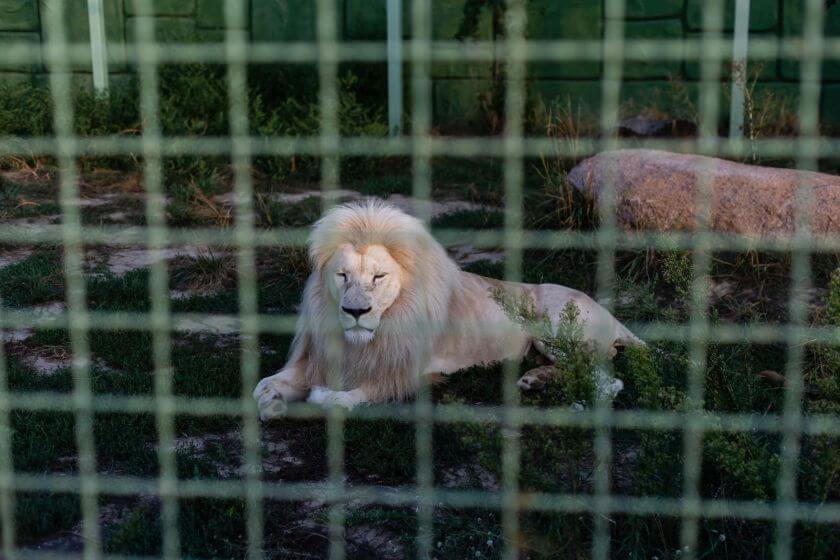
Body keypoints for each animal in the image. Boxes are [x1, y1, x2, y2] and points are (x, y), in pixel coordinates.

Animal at [253, 199, 648, 418]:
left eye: (378, 277)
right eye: (342, 275)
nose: (355, 313)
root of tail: (614, 319)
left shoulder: (407, 373)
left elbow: (348, 397)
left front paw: (321, 397)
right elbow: (263, 385)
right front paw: (272, 401)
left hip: (555, 328)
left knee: (607, 379)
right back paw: (535, 378)